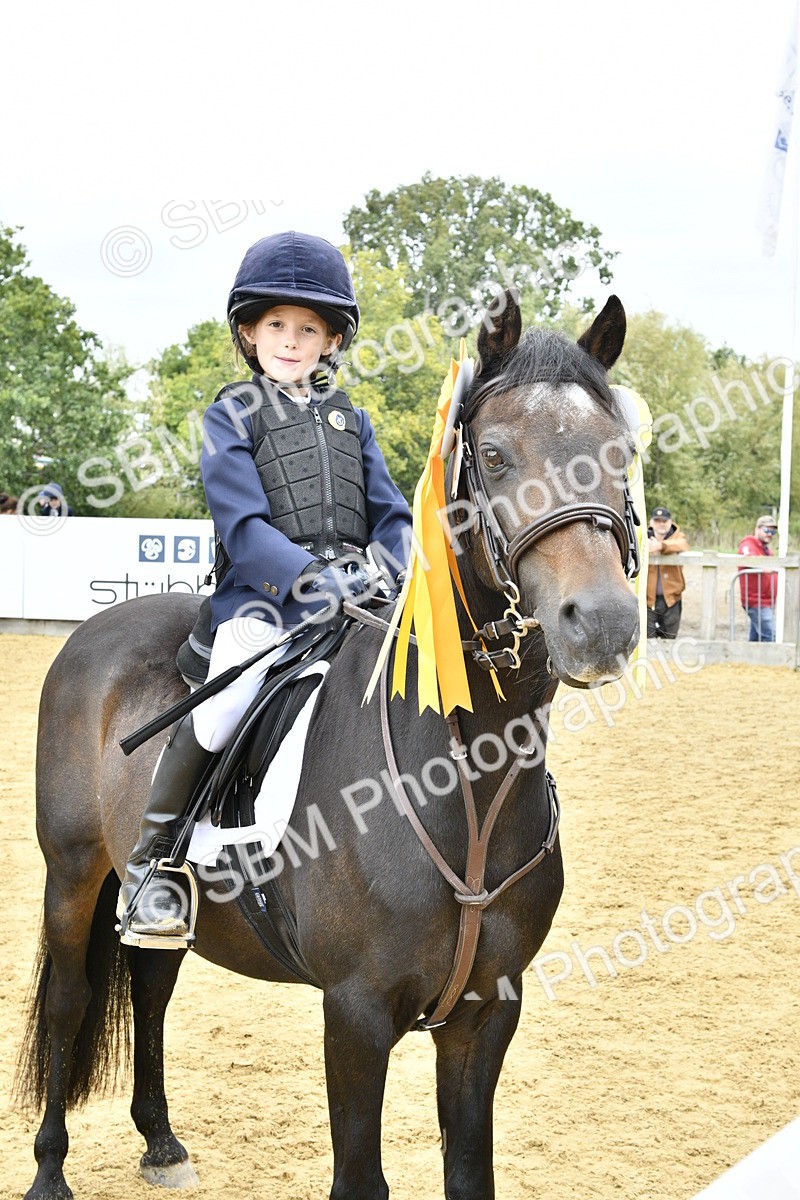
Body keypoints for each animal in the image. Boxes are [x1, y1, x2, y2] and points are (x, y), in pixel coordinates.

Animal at [15, 289, 641, 1200]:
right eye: (492, 455)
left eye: (620, 452)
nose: (603, 624)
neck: (469, 780)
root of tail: (96, 629)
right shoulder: (354, 1012)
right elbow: (359, 1178)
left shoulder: (488, 1012)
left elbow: (469, 1172)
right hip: (71, 873)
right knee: (70, 1000)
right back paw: (50, 1170)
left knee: (151, 985)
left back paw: (161, 1143)